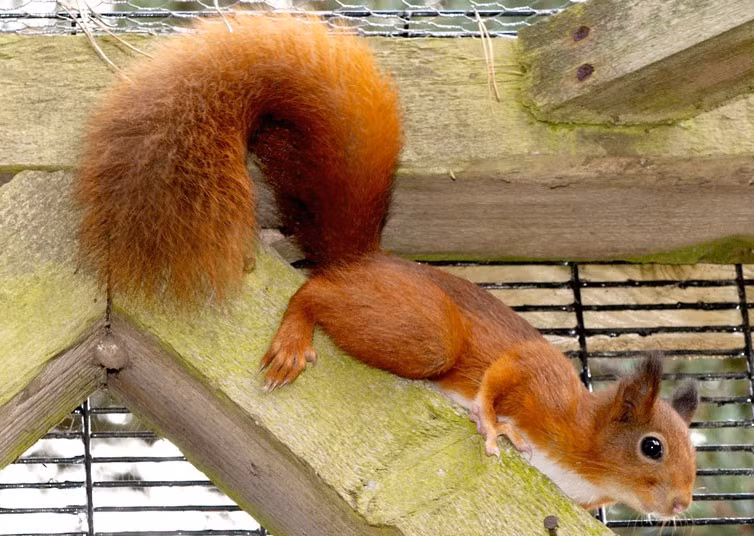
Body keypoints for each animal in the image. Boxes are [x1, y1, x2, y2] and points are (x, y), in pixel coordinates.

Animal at [75, 15, 700, 518]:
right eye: (652, 446)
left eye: (694, 452)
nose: (681, 505)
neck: (584, 450)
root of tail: (362, 259)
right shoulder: (545, 385)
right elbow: (508, 372)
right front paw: (492, 423)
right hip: (424, 335)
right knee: (315, 293)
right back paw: (297, 329)